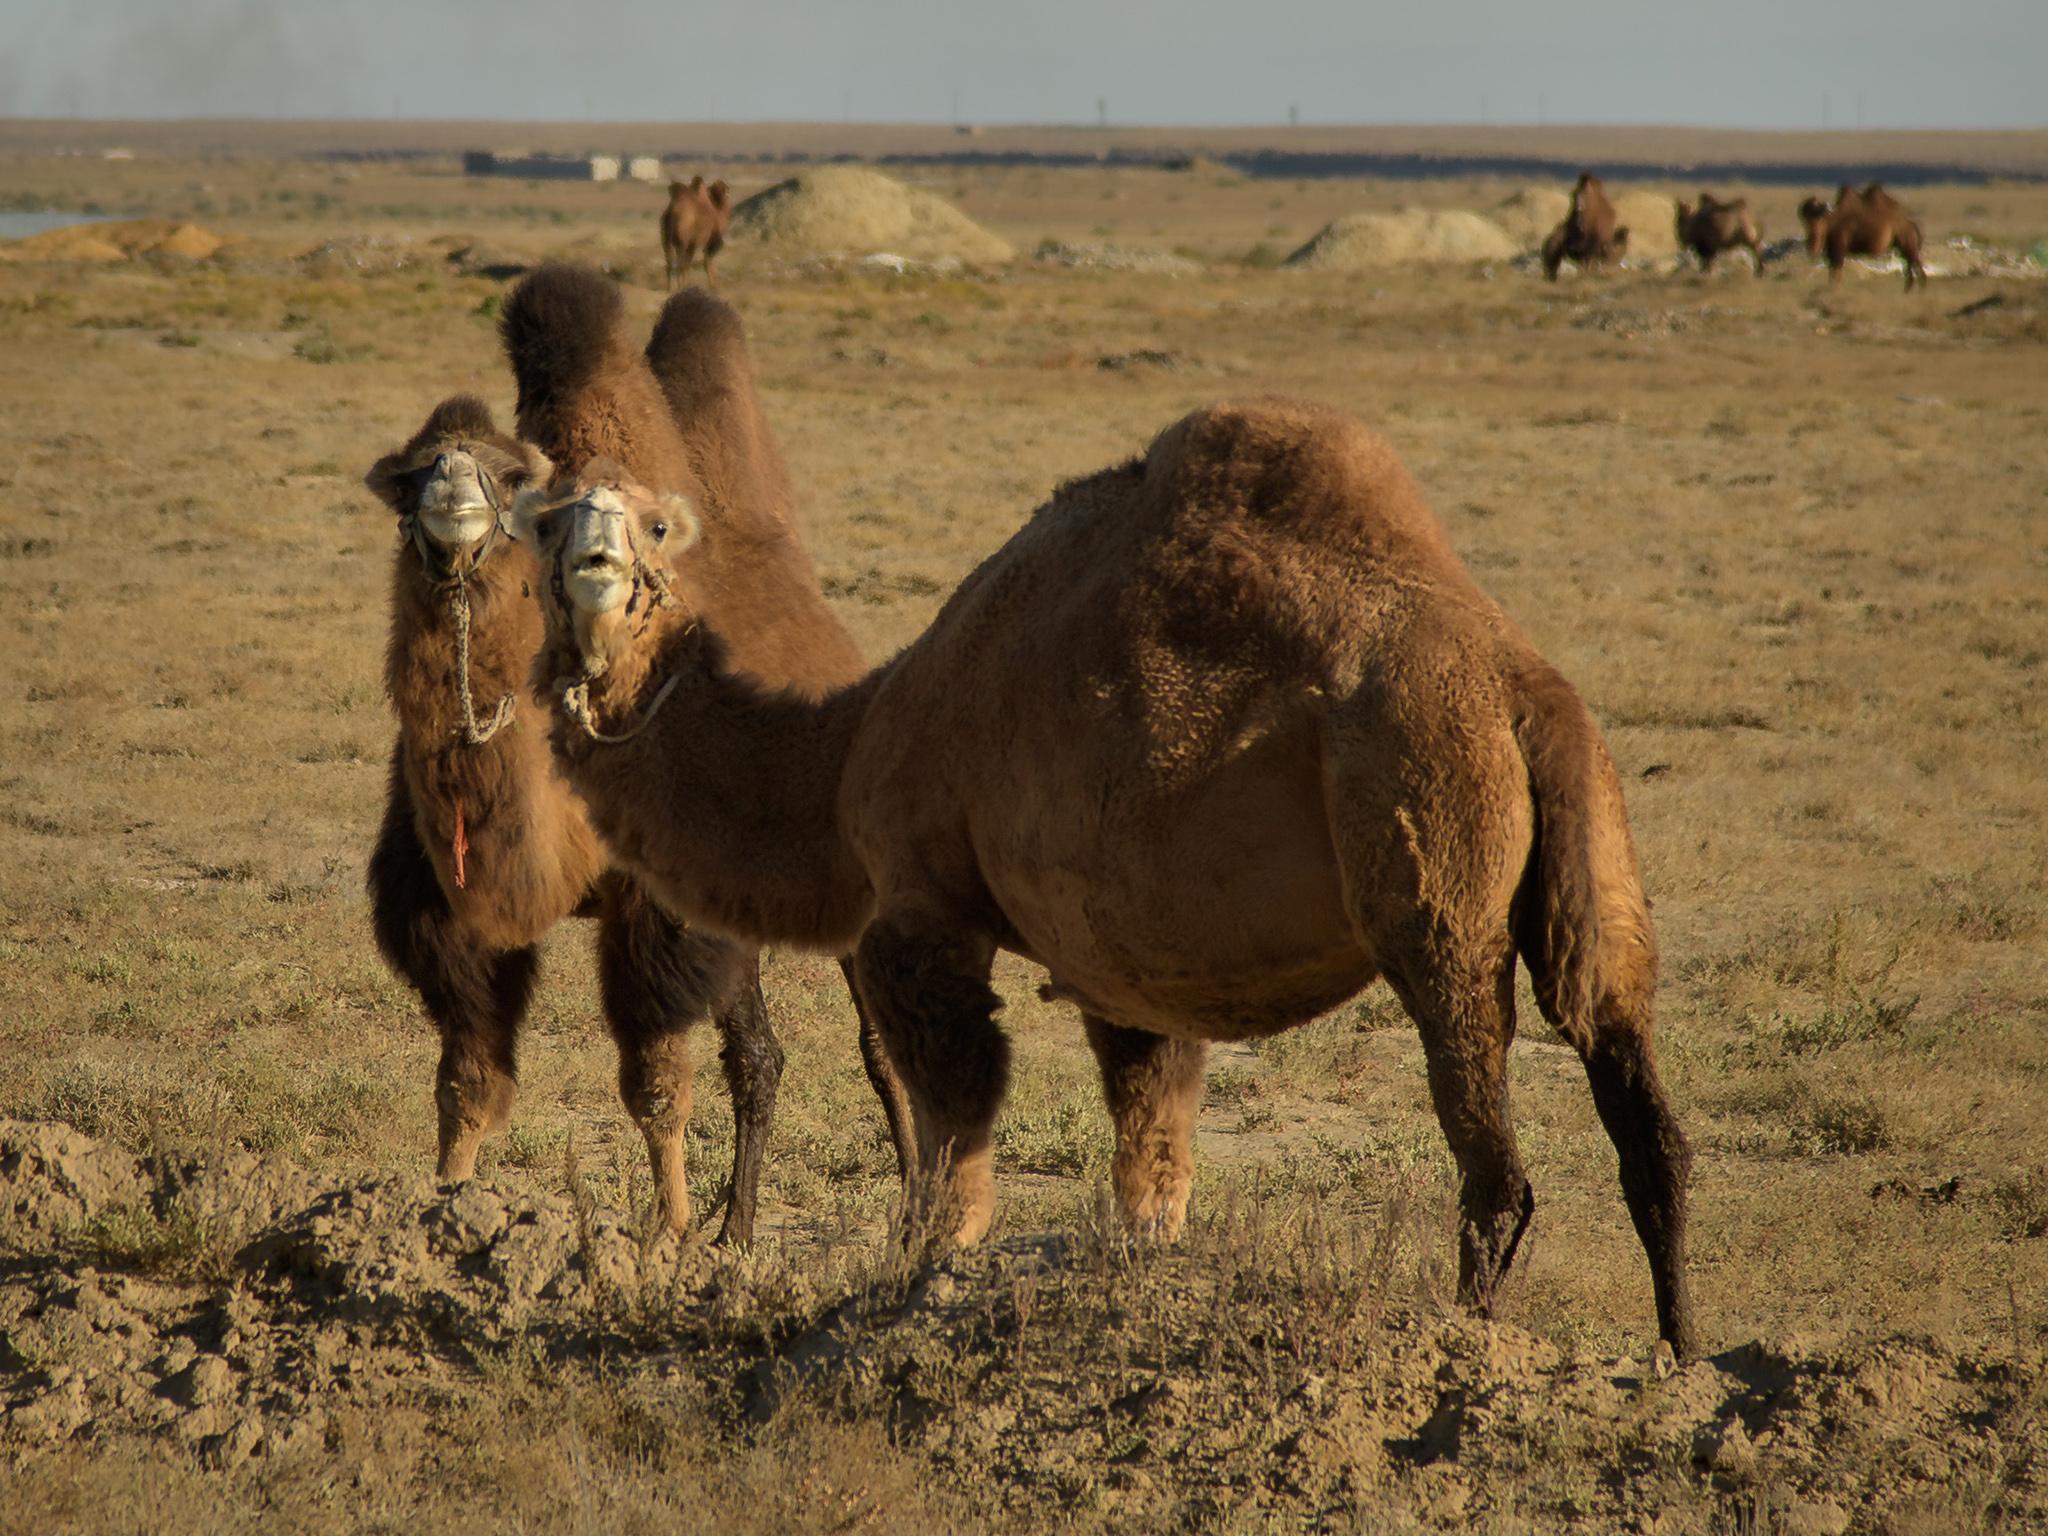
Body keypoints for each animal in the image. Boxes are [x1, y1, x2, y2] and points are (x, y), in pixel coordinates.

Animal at [362, 391, 790, 1245]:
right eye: (410, 473)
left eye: (507, 473)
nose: (451, 486)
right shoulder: (444, 910)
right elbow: (466, 1079)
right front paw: (442, 1203)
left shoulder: (653, 907)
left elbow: (655, 1082)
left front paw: (670, 1229)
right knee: (762, 1051)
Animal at [516, 385, 1712, 1359]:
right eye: (550, 520)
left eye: (652, 523)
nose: (593, 564)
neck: (848, 749)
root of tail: (1519, 687)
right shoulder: (1126, 967)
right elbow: (1151, 1155)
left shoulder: (921, 909)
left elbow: (957, 1134)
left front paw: (919, 1289)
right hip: (1595, 848)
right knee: (1640, 1107)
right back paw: (1682, 1358)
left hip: (1434, 856)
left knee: (1495, 1165)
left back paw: (1466, 1344)